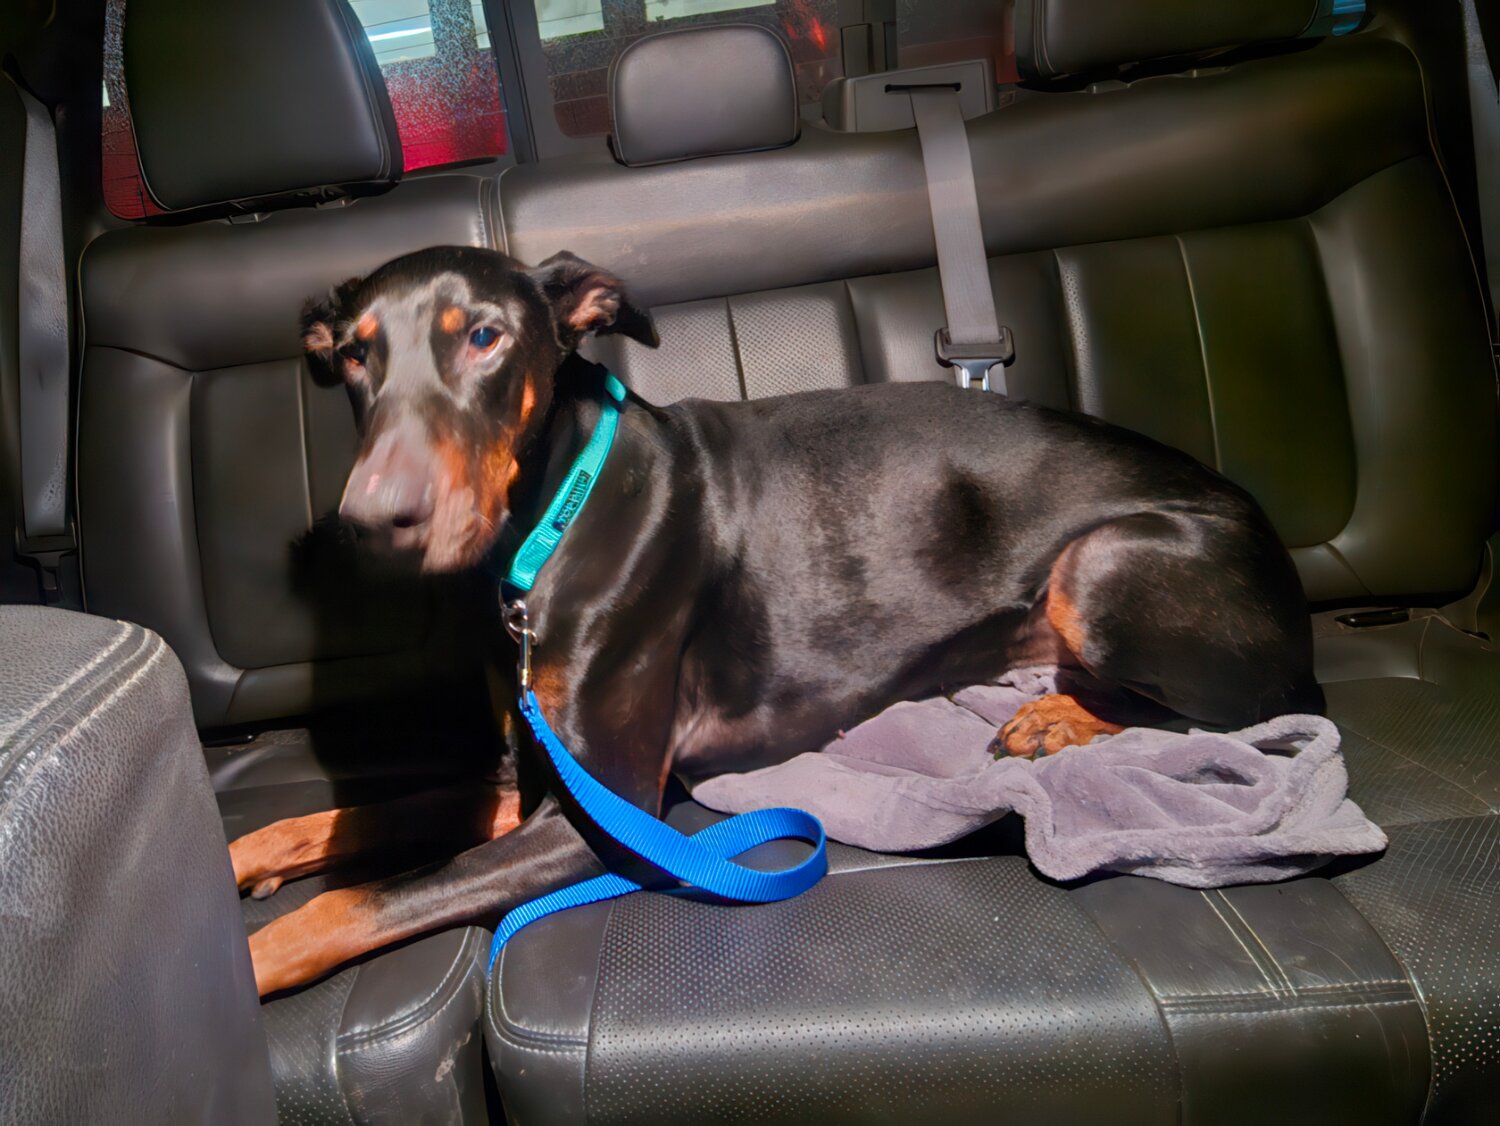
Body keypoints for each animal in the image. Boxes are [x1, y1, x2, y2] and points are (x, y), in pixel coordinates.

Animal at [232, 245, 1322, 995]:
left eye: (485, 337)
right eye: (356, 357)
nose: (373, 519)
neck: (553, 521)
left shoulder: (607, 809)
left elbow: (353, 901)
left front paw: (243, 961)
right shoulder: (531, 771)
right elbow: (351, 818)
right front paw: (236, 863)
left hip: (1105, 564)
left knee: (1249, 709)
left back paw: (1063, 718)